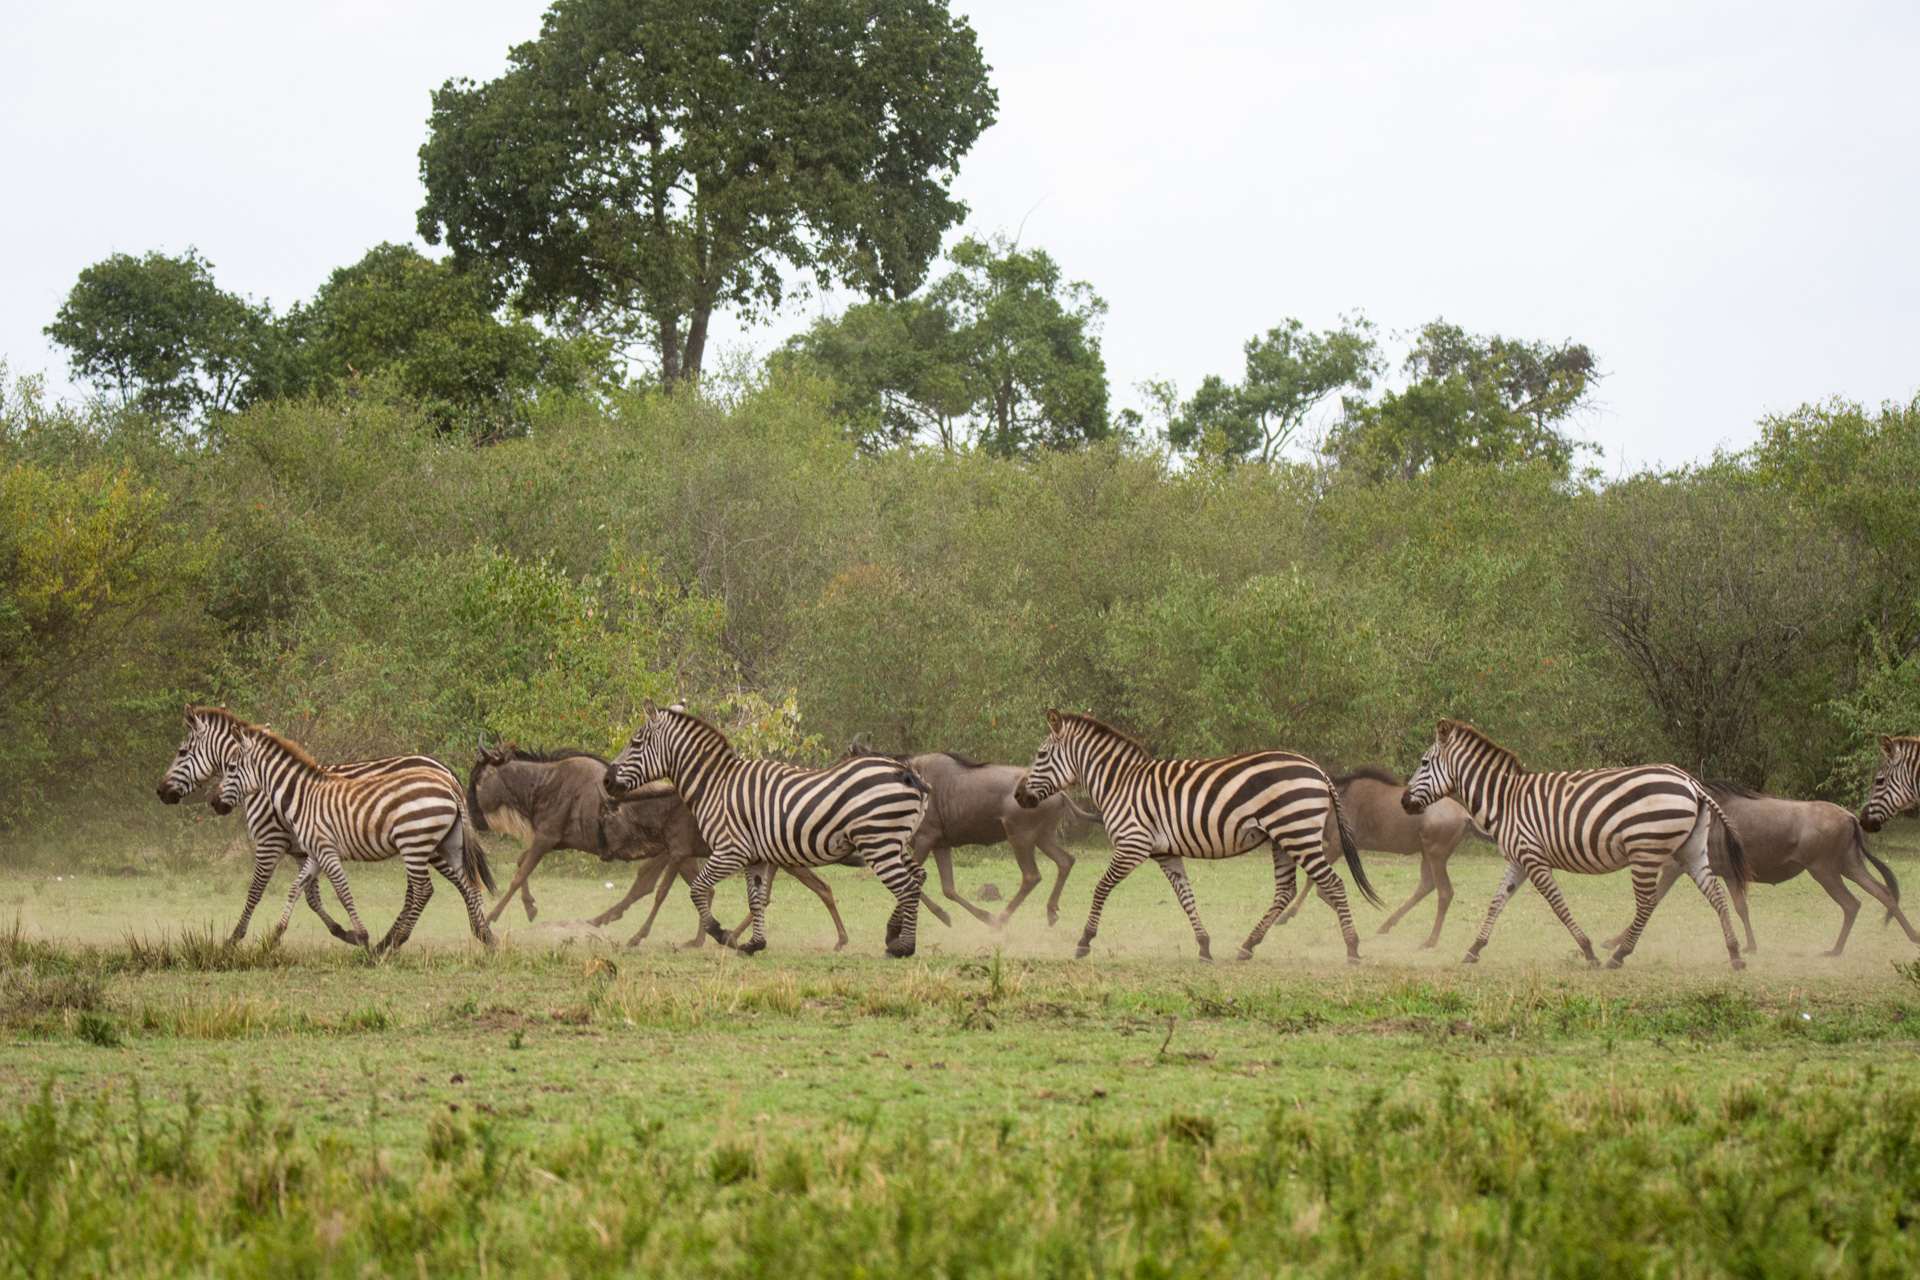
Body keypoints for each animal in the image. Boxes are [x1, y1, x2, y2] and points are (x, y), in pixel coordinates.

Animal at [157, 706, 495, 948]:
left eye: (181, 752)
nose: (161, 792)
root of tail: (445, 773)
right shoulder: (302, 849)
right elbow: (308, 895)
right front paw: (342, 932)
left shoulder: (270, 842)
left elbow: (256, 891)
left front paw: (234, 938)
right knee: (456, 883)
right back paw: (475, 934)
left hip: (424, 842)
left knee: (443, 885)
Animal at [599, 706, 929, 955]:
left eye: (635, 743)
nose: (605, 780)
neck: (714, 785)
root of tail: (905, 772)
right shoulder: (753, 857)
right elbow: (755, 898)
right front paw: (754, 944)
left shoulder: (727, 851)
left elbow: (695, 890)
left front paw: (721, 933)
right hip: (894, 843)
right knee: (918, 878)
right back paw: (892, 933)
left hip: (877, 843)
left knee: (907, 887)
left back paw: (903, 948)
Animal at [1013, 710, 1374, 959]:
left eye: (1040, 755)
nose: (1018, 796)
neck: (1119, 784)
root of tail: (1317, 769)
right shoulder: (1165, 852)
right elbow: (1185, 897)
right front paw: (1203, 946)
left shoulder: (1133, 844)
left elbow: (1101, 887)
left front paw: (1084, 942)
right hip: (1282, 838)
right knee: (1285, 891)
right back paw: (1247, 945)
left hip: (1297, 833)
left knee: (1334, 884)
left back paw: (1353, 949)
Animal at [1397, 721, 1758, 971]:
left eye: (1424, 763)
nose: (1403, 801)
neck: (1504, 800)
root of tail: (1690, 781)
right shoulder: (1518, 859)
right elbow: (1496, 902)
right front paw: (1474, 948)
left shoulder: (1533, 857)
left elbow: (1558, 904)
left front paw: (1588, 951)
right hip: (1691, 849)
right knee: (1716, 893)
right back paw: (1735, 953)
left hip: (1645, 849)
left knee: (1647, 902)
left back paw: (1619, 954)